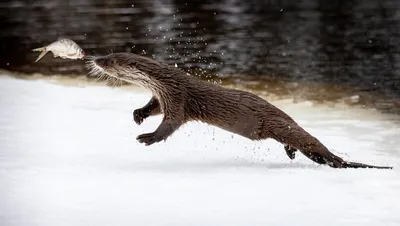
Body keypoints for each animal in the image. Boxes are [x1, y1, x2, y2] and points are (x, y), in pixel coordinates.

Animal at [86, 53, 390, 169]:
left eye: (110, 60)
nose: (95, 58)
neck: (165, 82)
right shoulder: (162, 95)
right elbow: (153, 107)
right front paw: (138, 115)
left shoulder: (178, 98)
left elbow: (170, 124)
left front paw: (147, 138)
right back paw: (291, 154)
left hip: (282, 125)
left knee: (315, 145)